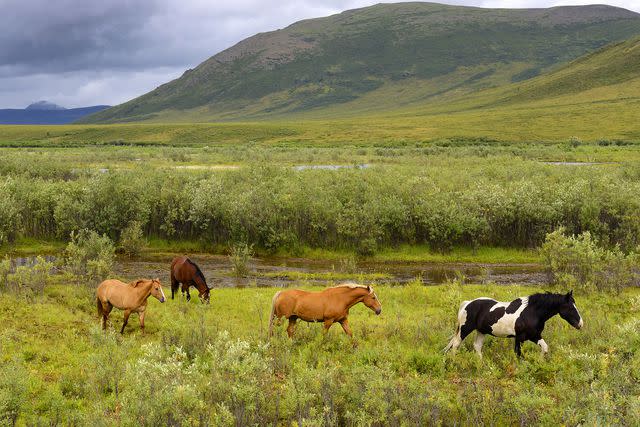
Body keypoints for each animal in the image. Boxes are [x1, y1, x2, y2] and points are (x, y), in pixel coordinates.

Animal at [448, 290, 584, 358]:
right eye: (570, 307)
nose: (580, 324)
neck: (532, 312)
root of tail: (467, 303)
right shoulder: (520, 337)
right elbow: (518, 354)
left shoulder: (534, 336)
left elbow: (545, 348)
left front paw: (540, 362)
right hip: (465, 329)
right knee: (455, 345)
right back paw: (455, 362)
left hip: (481, 331)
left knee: (477, 347)